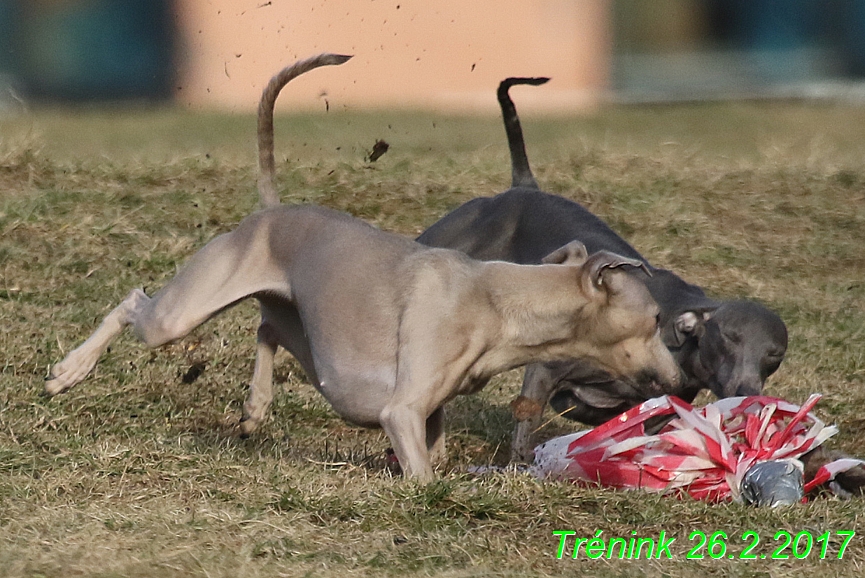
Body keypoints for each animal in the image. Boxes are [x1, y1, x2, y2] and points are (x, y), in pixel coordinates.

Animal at [45, 54, 680, 480]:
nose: (676, 383)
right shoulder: (402, 411)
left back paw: (254, 408)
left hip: (306, 330)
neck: (499, 300)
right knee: (132, 303)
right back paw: (68, 372)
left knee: (267, 327)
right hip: (183, 312)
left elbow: (436, 450)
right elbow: (424, 476)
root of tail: (271, 211)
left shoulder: (429, 413)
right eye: (654, 319)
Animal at [416, 77, 788, 460]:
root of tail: (523, 188)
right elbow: (526, 421)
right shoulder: (545, 371)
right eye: (729, 337)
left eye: (774, 354)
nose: (747, 391)